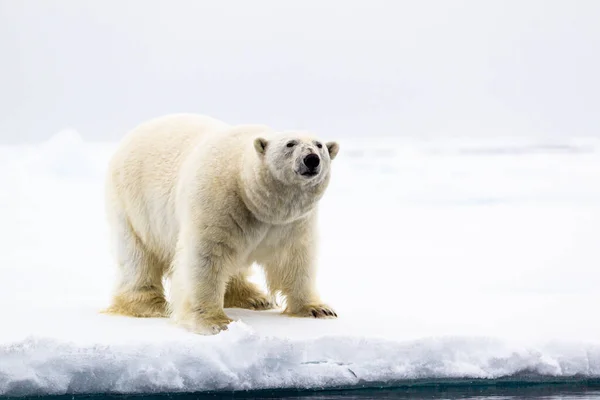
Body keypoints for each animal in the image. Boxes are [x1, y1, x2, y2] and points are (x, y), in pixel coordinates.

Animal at [102, 113, 338, 334]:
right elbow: (205, 256)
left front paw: (318, 309)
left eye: (319, 145)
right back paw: (148, 305)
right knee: (137, 257)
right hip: (133, 205)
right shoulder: (217, 202)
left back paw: (255, 298)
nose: (311, 159)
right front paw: (214, 322)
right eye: (290, 144)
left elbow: (294, 259)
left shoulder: (292, 223)